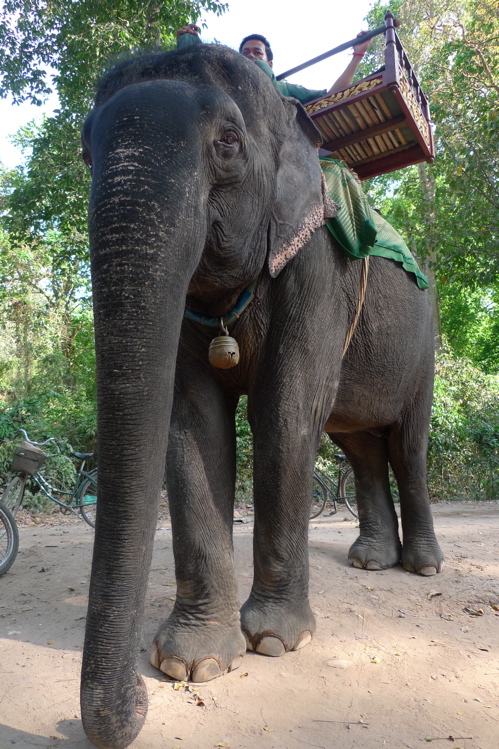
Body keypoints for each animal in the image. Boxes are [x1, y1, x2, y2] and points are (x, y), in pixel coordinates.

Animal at [81, 42, 446, 748]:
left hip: (425, 348)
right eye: (86, 150)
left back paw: (422, 568)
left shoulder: (320, 267)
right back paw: (370, 561)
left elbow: (284, 410)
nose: (137, 702)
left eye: (227, 143)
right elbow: (193, 423)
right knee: (360, 447)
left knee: (407, 446)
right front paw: (192, 663)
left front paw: (275, 641)